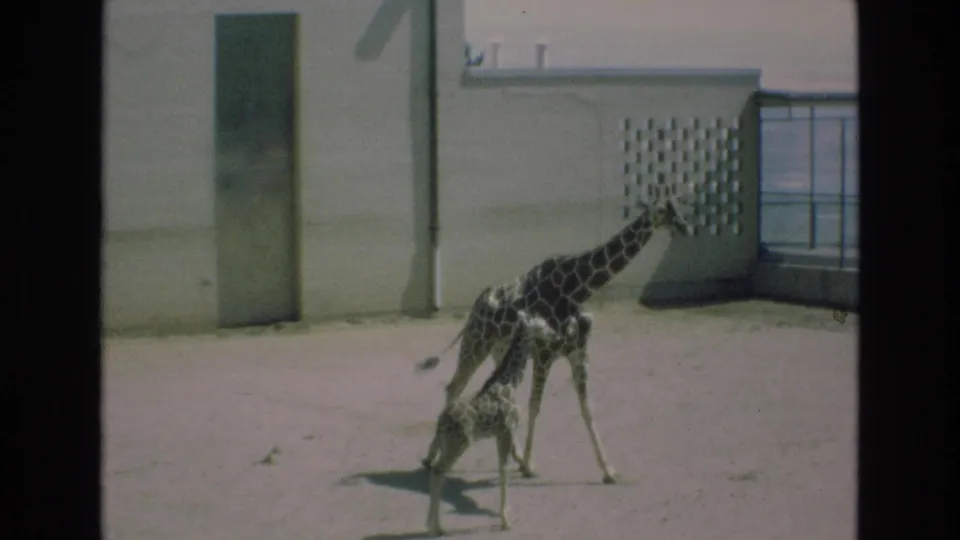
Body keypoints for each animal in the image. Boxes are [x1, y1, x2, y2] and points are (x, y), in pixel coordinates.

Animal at [417, 193, 694, 484]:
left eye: (679, 206)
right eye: (664, 210)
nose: (687, 228)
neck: (577, 289)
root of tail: (477, 305)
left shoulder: (579, 351)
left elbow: (587, 408)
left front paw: (608, 470)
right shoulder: (545, 351)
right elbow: (535, 404)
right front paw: (529, 466)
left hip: (500, 348)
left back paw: (511, 455)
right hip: (476, 342)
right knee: (454, 386)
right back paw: (431, 456)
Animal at [424, 307, 577, 536]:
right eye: (542, 325)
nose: (557, 337)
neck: (510, 383)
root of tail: (441, 423)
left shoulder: (498, 434)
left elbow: (501, 468)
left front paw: (506, 517)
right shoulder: (507, 430)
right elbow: (504, 470)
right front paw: (506, 521)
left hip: (446, 443)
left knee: (436, 470)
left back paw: (433, 524)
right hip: (458, 444)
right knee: (438, 471)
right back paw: (436, 527)